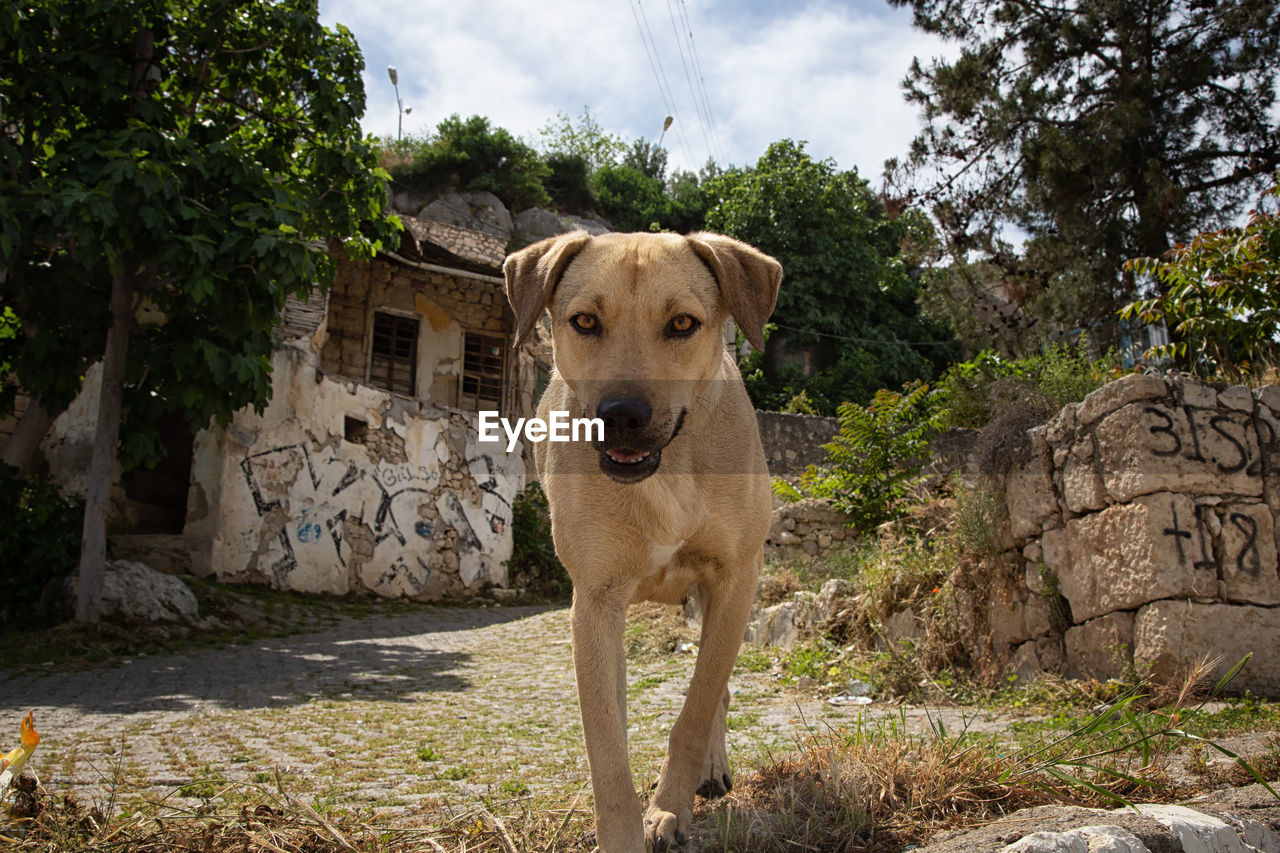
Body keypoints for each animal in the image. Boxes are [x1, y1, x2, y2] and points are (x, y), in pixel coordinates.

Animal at [499, 229, 778, 845]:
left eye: (681, 324)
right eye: (584, 321)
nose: (621, 415)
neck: (665, 473)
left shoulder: (734, 579)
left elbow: (697, 708)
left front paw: (669, 807)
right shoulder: (595, 601)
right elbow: (606, 745)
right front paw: (623, 831)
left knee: (716, 688)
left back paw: (711, 768)